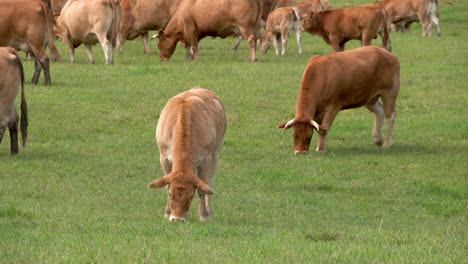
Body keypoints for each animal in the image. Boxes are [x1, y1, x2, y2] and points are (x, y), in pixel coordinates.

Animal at [147, 87, 226, 223]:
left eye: (190, 196)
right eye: (170, 194)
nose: (177, 219)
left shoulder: (206, 160)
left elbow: (202, 188)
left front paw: (204, 215)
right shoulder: (163, 157)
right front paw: (167, 213)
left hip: (216, 153)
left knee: (209, 184)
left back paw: (209, 212)